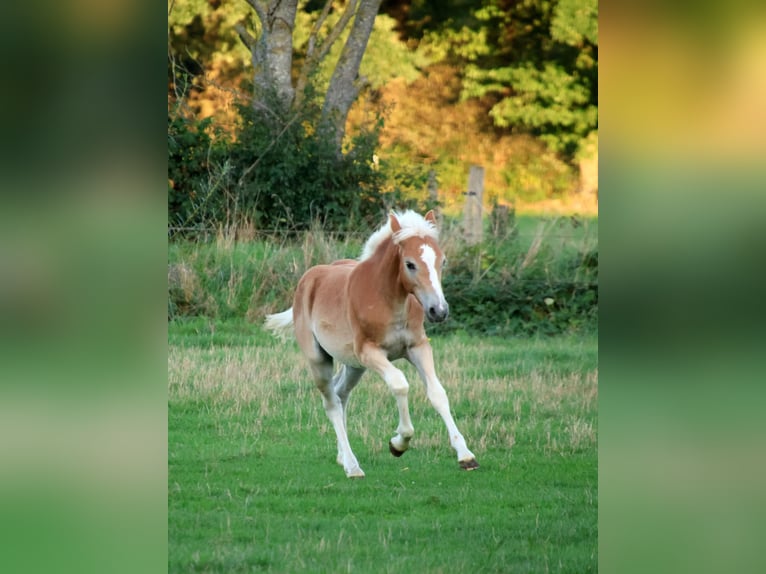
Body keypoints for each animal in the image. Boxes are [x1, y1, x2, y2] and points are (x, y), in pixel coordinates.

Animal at [264, 210, 478, 478]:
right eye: (410, 264)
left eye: (443, 261)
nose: (438, 311)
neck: (388, 301)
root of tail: (308, 279)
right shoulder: (370, 352)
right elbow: (400, 384)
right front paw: (398, 443)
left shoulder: (418, 348)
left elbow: (438, 393)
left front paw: (466, 455)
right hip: (320, 360)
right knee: (331, 403)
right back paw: (352, 466)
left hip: (353, 365)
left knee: (340, 394)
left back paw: (342, 456)